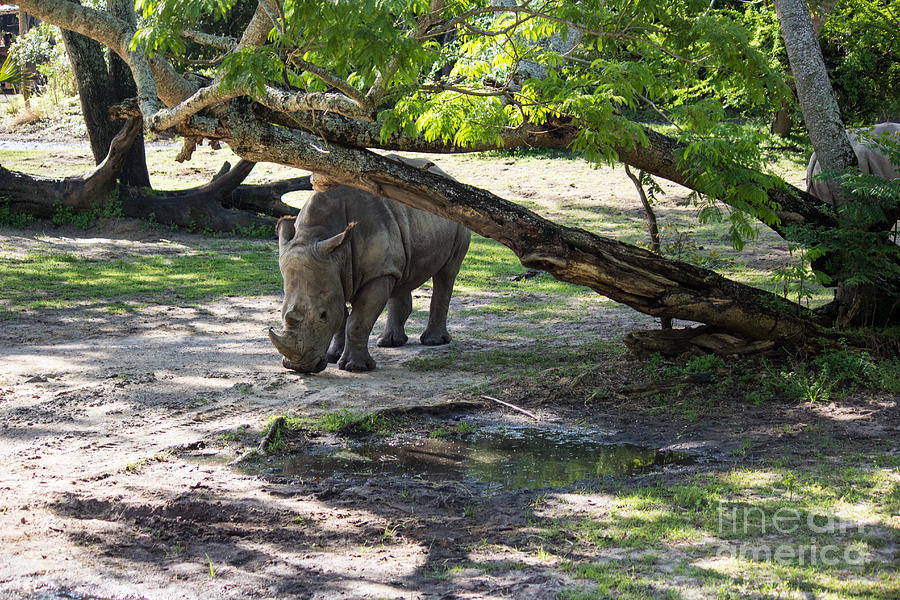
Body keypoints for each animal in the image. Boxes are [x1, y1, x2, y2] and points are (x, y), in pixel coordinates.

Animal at [268, 156, 472, 370]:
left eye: (323, 315)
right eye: (281, 313)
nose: (297, 367)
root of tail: (448, 177)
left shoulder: (374, 274)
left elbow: (357, 321)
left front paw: (354, 367)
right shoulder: (334, 272)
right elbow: (341, 317)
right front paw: (333, 356)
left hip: (457, 216)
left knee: (447, 273)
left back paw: (433, 341)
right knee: (401, 273)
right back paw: (389, 342)